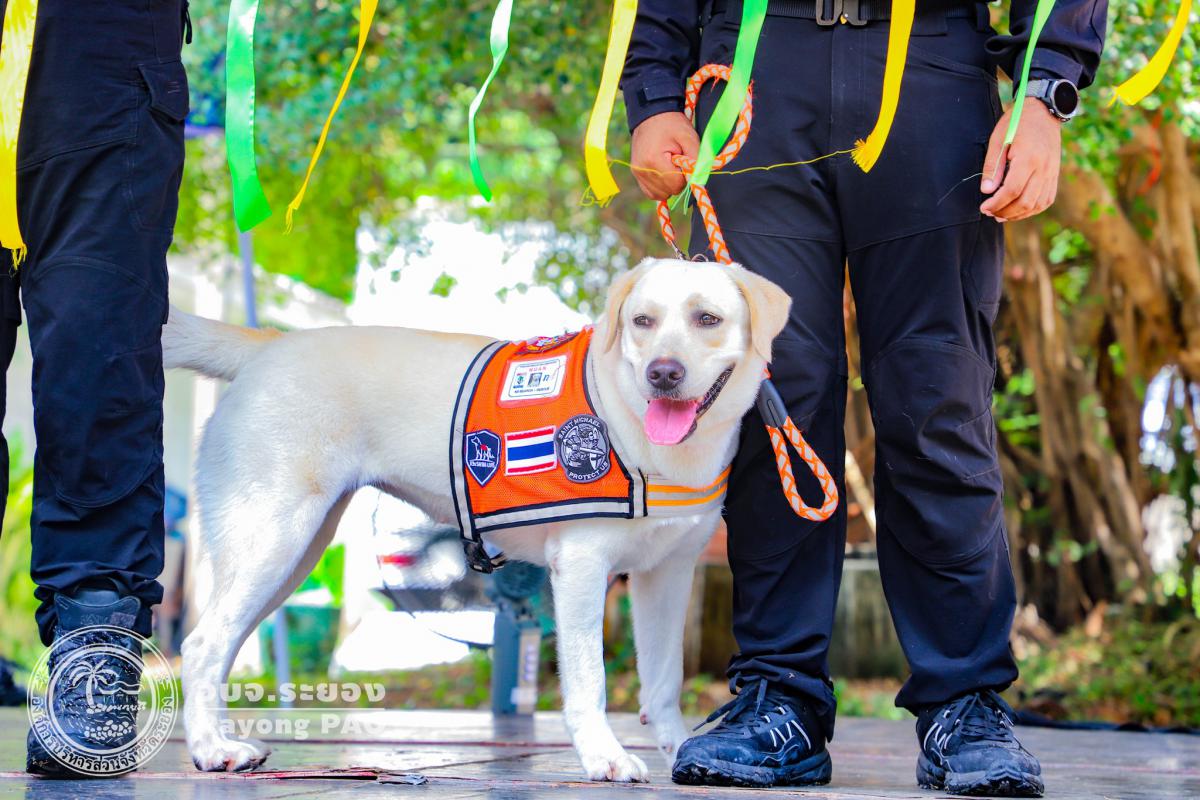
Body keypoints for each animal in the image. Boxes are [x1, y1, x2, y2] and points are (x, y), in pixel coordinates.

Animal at [167, 256, 791, 782]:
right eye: (642, 321)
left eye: (707, 319)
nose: (662, 373)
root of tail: (268, 347)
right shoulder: (582, 567)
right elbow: (589, 677)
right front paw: (603, 757)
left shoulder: (668, 574)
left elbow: (663, 681)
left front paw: (680, 751)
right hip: (272, 536)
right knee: (201, 645)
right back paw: (211, 749)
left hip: (291, 553)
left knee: (221, 646)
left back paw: (222, 739)